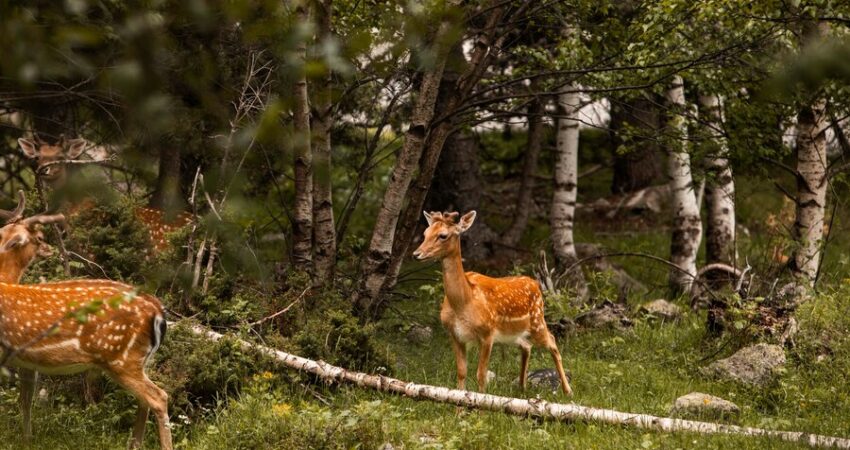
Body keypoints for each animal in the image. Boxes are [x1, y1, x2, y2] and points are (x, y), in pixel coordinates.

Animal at [0, 193, 172, 450]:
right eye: (39, 237)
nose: (49, 248)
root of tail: (157, 309)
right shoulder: (26, 360)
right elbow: (26, 400)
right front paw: (26, 440)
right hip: (141, 359)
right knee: (146, 401)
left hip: (121, 358)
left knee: (159, 397)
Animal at [410, 211, 568, 394]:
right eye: (425, 234)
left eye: (443, 235)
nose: (416, 254)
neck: (463, 303)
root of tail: (535, 283)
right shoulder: (455, 335)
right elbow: (461, 372)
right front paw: (460, 401)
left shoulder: (487, 333)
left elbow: (481, 374)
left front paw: (481, 401)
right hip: (513, 333)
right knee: (526, 346)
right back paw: (522, 387)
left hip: (537, 321)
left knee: (552, 341)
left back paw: (567, 390)